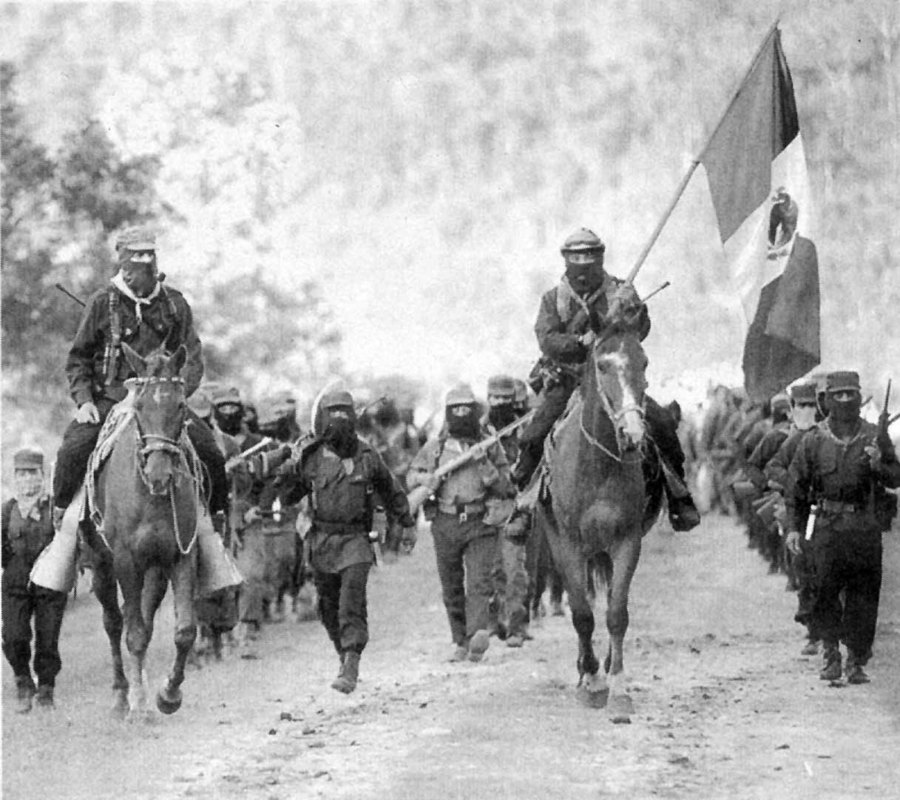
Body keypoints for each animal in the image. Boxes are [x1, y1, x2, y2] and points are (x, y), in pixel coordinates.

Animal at [87, 344, 201, 720]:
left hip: (154, 570)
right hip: (102, 565)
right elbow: (132, 633)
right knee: (114, 623)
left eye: (180, 406)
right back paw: (122, 696)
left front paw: (168, 694)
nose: (159, 474)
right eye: (139, 407)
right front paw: (138, 703)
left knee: (144, 620)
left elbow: (184, 631)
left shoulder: (180, 555)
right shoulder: (125, 560)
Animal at [536, 326, 664, 724]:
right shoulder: (568, 545)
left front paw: (618, 688)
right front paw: (591, 682)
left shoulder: (627, 541)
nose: (633, 434)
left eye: (644, 361)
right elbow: (582, 615)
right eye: (603, 365)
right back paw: (586, 671)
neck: (598, 464)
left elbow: (616, 613)